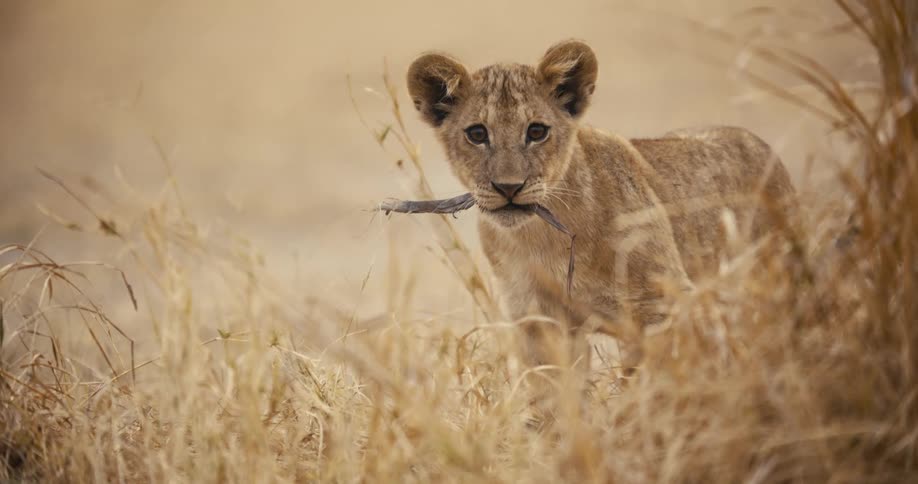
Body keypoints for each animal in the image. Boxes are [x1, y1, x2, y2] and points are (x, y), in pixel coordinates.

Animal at [406, 40, 795, 366]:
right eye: (477, 134)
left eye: (536, 131)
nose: (508, 187)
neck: (543, 237)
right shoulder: (541, 323)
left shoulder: (663, 307)